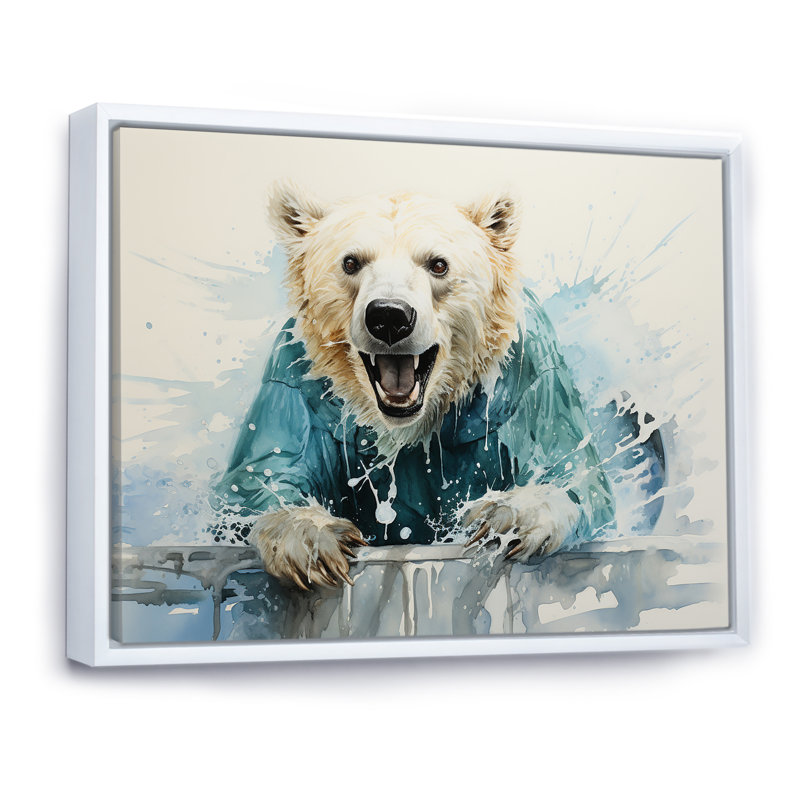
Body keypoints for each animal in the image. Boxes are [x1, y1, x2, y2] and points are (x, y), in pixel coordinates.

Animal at [212, 182, 615, 590]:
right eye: (350, 263)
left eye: (438, 264)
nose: (389, 316)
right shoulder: (295, 383)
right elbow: (254, 481)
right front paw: (313, 541)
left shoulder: (531, 371)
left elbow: (574, 473)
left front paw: (504, 518)